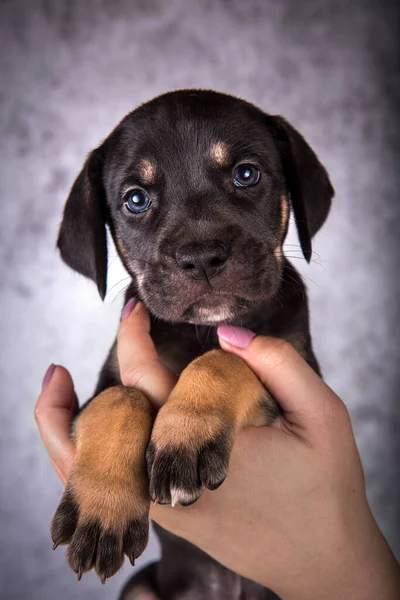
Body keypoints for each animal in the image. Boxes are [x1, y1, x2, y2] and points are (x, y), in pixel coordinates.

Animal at [50, 90, 332, 600]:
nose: (201, 258)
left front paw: (186, 433)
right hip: (141, 589)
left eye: (246, 174)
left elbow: (225, 359)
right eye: (135, 200)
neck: (201, 329)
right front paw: (102, 510)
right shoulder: (98, 390)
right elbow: (122, 397)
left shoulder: (296, 369)